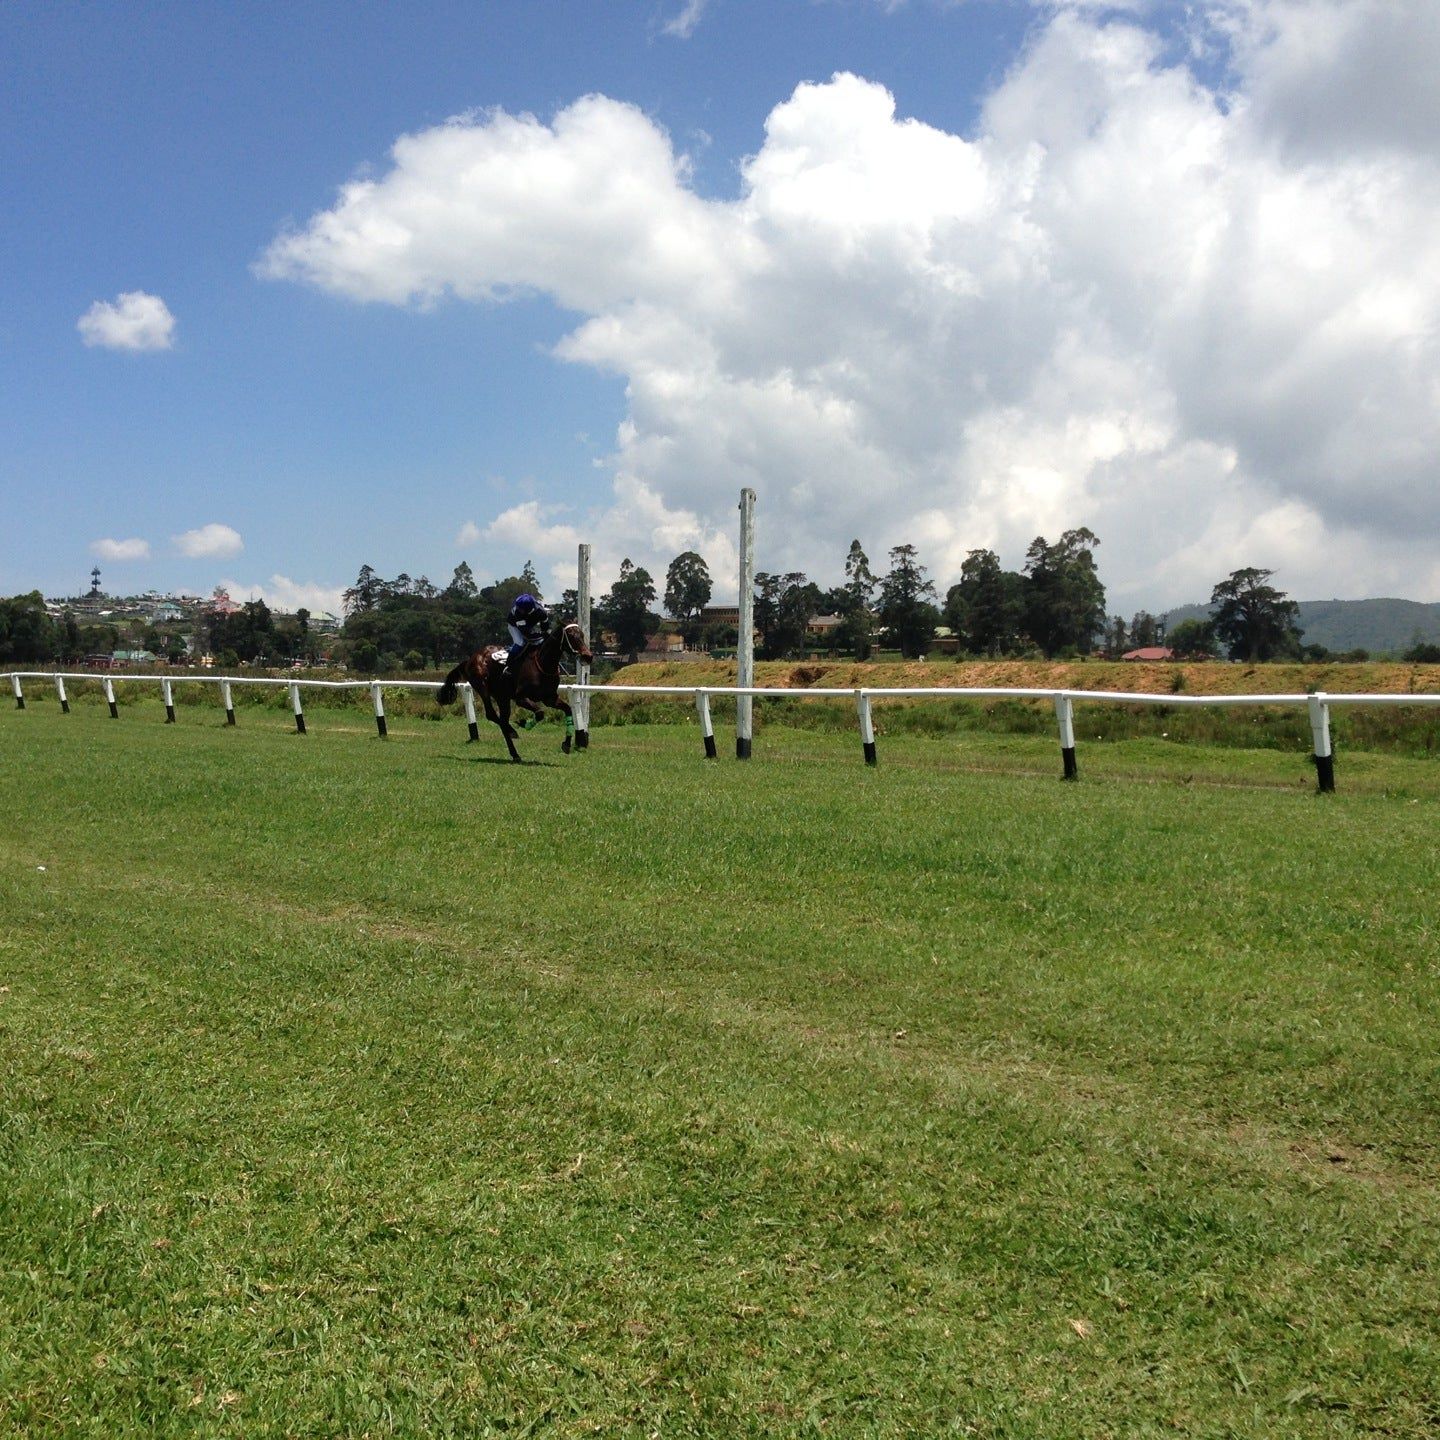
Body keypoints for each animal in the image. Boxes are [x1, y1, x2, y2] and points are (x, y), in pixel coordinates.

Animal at [437, 624, 596, 771]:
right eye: (572, 636)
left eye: (582, 635)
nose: (588, 656)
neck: (542, 663)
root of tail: (471, 658)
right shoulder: (521, 698)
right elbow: (540, 713)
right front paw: (524, 723)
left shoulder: (550, 698)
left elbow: (568, 710)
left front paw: (567, 744)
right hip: (482, 687)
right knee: (492, 715)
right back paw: (513, 733)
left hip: (502, 697)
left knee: (502, 719)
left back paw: (514, 751)